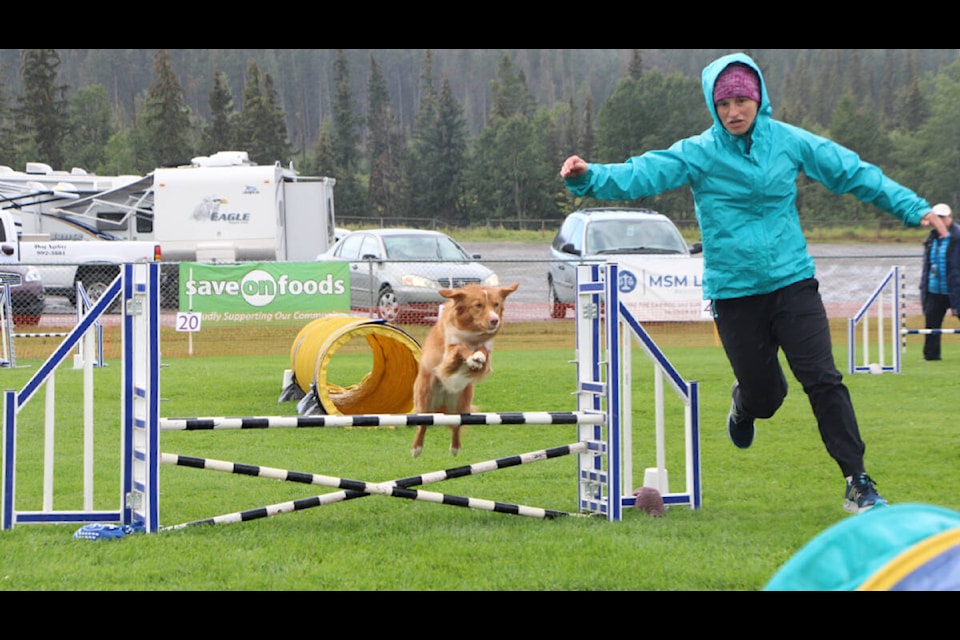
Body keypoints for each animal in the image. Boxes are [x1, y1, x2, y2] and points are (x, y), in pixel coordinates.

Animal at [410, 282, 516, 458]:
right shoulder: (448, 351)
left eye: (496, 304)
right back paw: (416, 449)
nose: (495, 320)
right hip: (425, 401)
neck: (472, 332)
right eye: (478, 305)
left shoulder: (487, 349)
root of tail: (443, 404)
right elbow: (460, 347)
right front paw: (471, 357)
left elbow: (483, 351)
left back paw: (455, 448)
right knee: (422, 425)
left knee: (456, 426)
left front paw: (478, 356)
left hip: (462, 405)